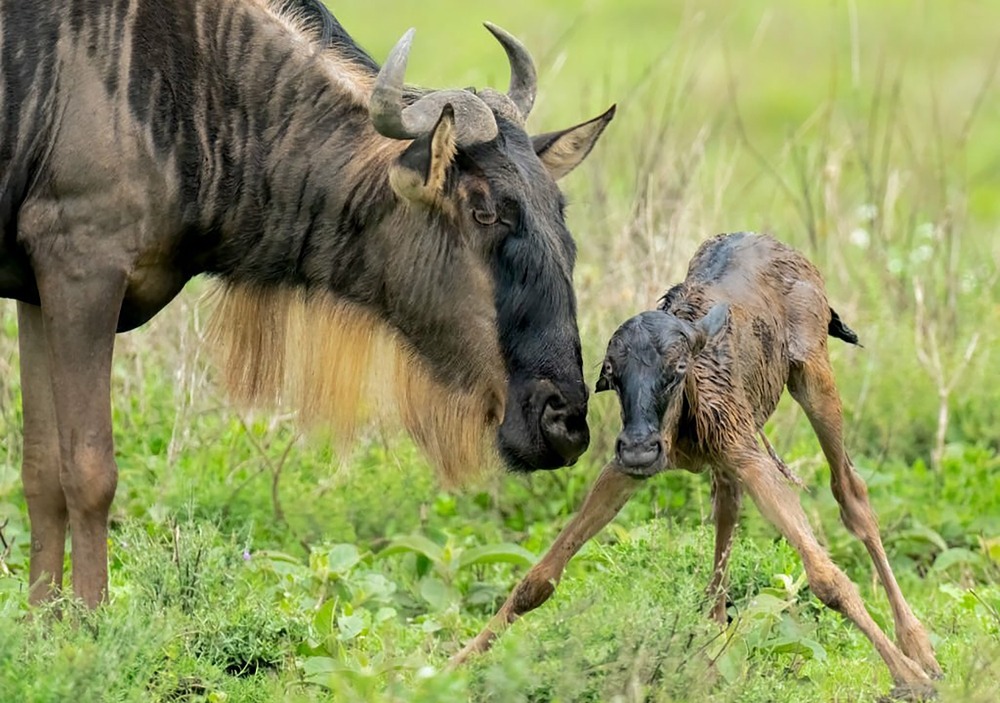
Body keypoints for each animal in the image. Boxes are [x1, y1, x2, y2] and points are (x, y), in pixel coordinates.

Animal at [0, 0, 614, 607]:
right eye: (483, 210)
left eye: (557, 209)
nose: (565, 422)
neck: (190, 87)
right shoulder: (82, 269)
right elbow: (89, 472)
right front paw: (90, 622)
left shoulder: (40, 293)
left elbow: (41, 473)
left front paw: (44, 622)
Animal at [452, 233, 942, 701]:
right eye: (611, 374)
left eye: (678, 368)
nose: (640, 449)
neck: (683, 423)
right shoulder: (626, 469)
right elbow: (540, 576)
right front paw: (457, 662)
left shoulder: (745, 450)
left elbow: (826, 576)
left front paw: (912, 676)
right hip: (729, 455)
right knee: (728, 508)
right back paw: (712, 647)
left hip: (813, 376)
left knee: (851, 493)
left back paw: (919, 646)